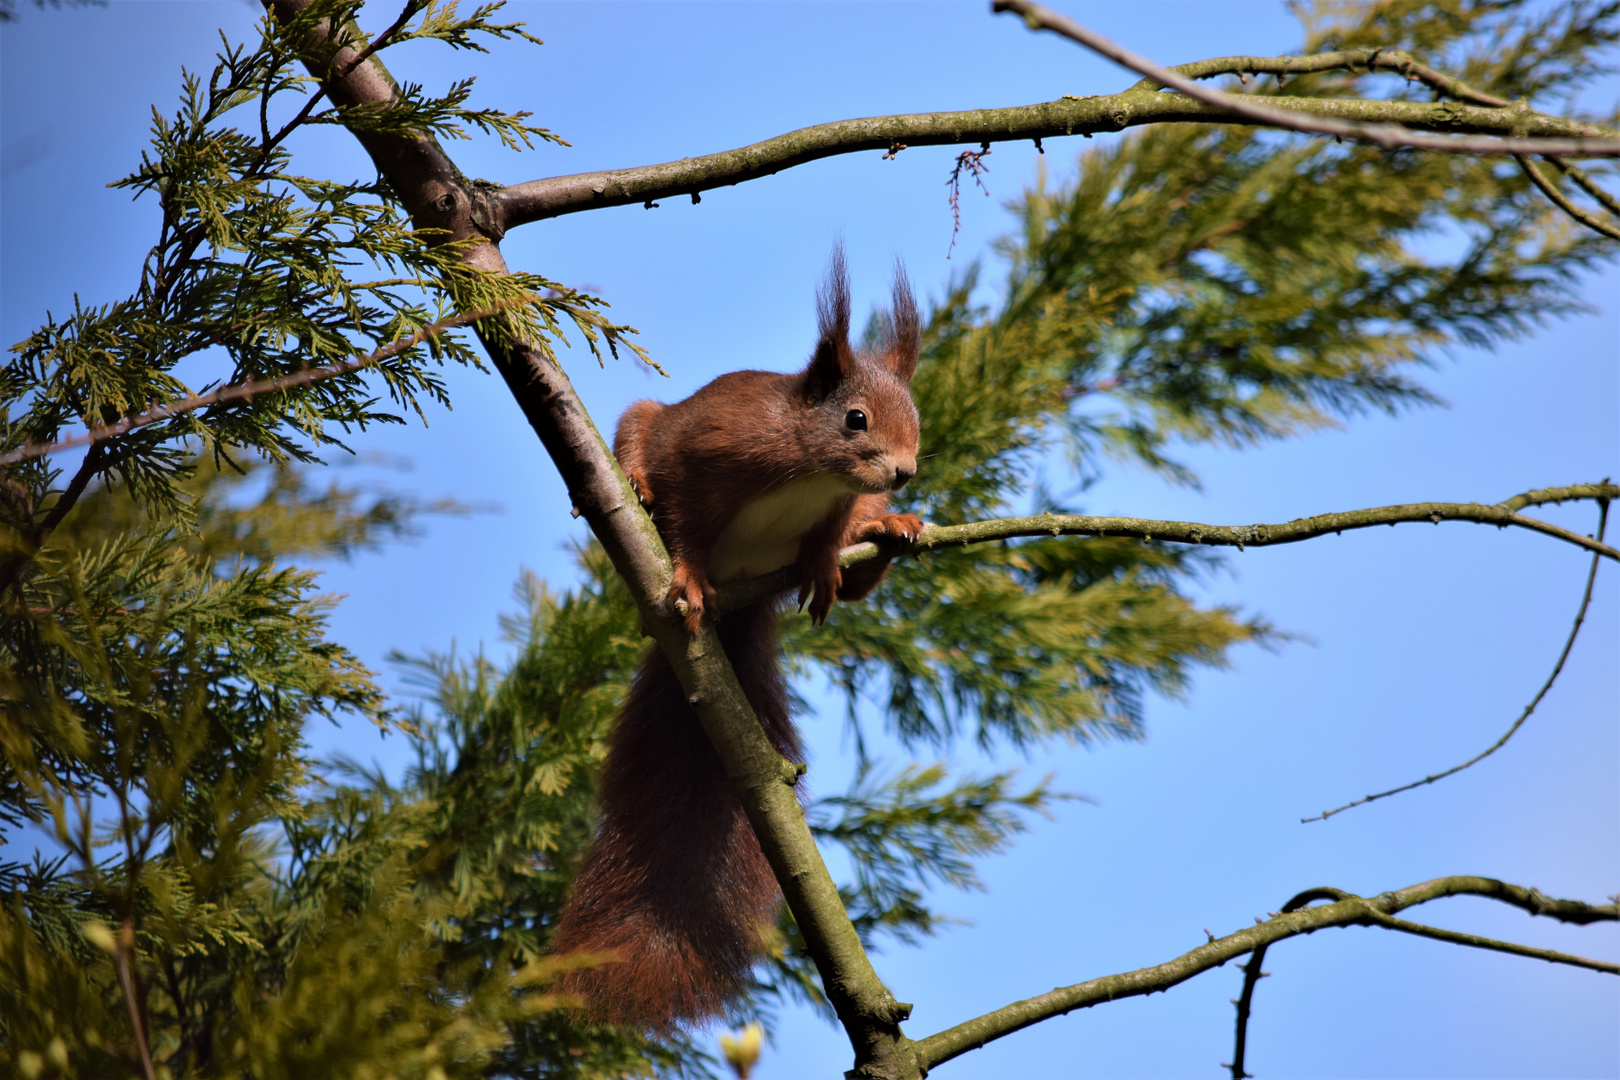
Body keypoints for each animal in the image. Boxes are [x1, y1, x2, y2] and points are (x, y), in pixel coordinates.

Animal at [550, 250, 920, 1029]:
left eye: (917, 421)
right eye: (856, 419)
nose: (903, 473)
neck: (811, 473)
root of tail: (746, 598)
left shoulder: (831, 511)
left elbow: (825, 542)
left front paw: (828, 564)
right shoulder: (706, 457)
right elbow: (686, 522)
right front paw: (687, 574)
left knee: (857, 556)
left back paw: (887, 532)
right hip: (646, 425)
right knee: (640, 445)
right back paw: (632, 482)